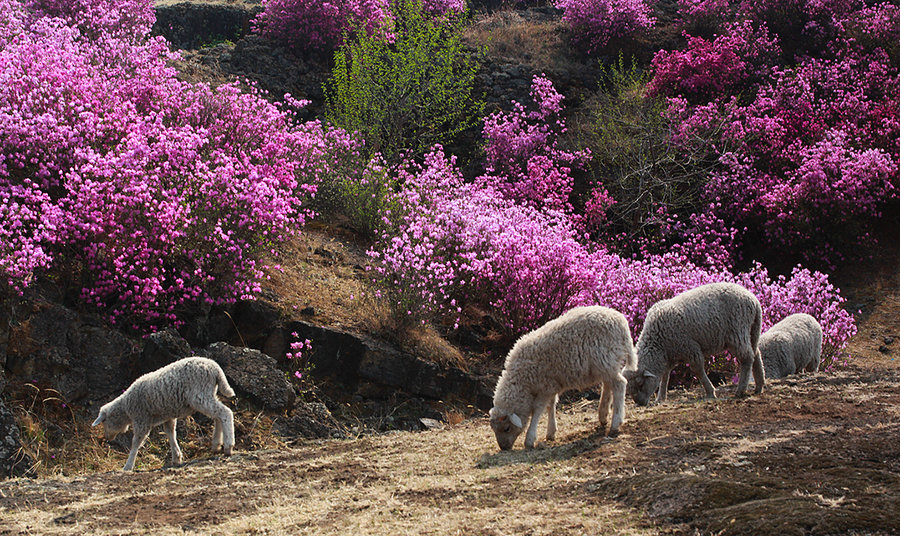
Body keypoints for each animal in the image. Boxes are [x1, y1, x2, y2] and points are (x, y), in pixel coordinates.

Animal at [92, 358, 236, 472]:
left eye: (104, 422)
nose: (107, 438)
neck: (126, 408)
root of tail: (216, 369)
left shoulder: (141, 419)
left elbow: (136, 442)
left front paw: (128, 465)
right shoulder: (168, 416)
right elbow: (170, 433)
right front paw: (176, 457)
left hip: (200, 395)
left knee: (225, 413)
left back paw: (228, 446)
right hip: (208, 394)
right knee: (218, 416)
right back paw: (216, 444)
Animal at [488, 304, 636, 450]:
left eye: (507, 428)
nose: (504, 447)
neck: (522, 381)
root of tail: (622, 323)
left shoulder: (544, 387)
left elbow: (538, 410)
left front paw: (530, 439)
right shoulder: (552, 385)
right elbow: (551, 405)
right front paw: (551, 433)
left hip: (604, 359)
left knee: (619, 384)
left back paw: (615, 424)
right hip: (607, 364)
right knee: (608, 384)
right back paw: (603, 415)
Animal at [624, 282, 768, 404]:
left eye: (640, 384)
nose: (640, 403)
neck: (659, 343)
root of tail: (754, 300)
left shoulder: (689, 347)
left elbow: (697, 370)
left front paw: (710, 392)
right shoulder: (671, 354)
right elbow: (665, 375)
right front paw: (660, 398)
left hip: (737, 332)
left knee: (747, 358)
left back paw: (741, 390)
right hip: (752, 330)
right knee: (756, 354)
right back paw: (759, 386)